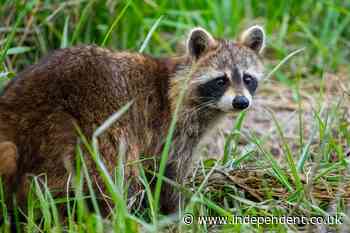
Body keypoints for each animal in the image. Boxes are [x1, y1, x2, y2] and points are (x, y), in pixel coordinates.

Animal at [0, 25, 266, 213]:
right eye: (221, 80)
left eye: (248, 78)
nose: (241, 102)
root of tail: (15, 110)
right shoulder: (173, 129)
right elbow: (168, 173)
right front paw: (177, 210)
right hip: (92, 126)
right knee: (117, 170)